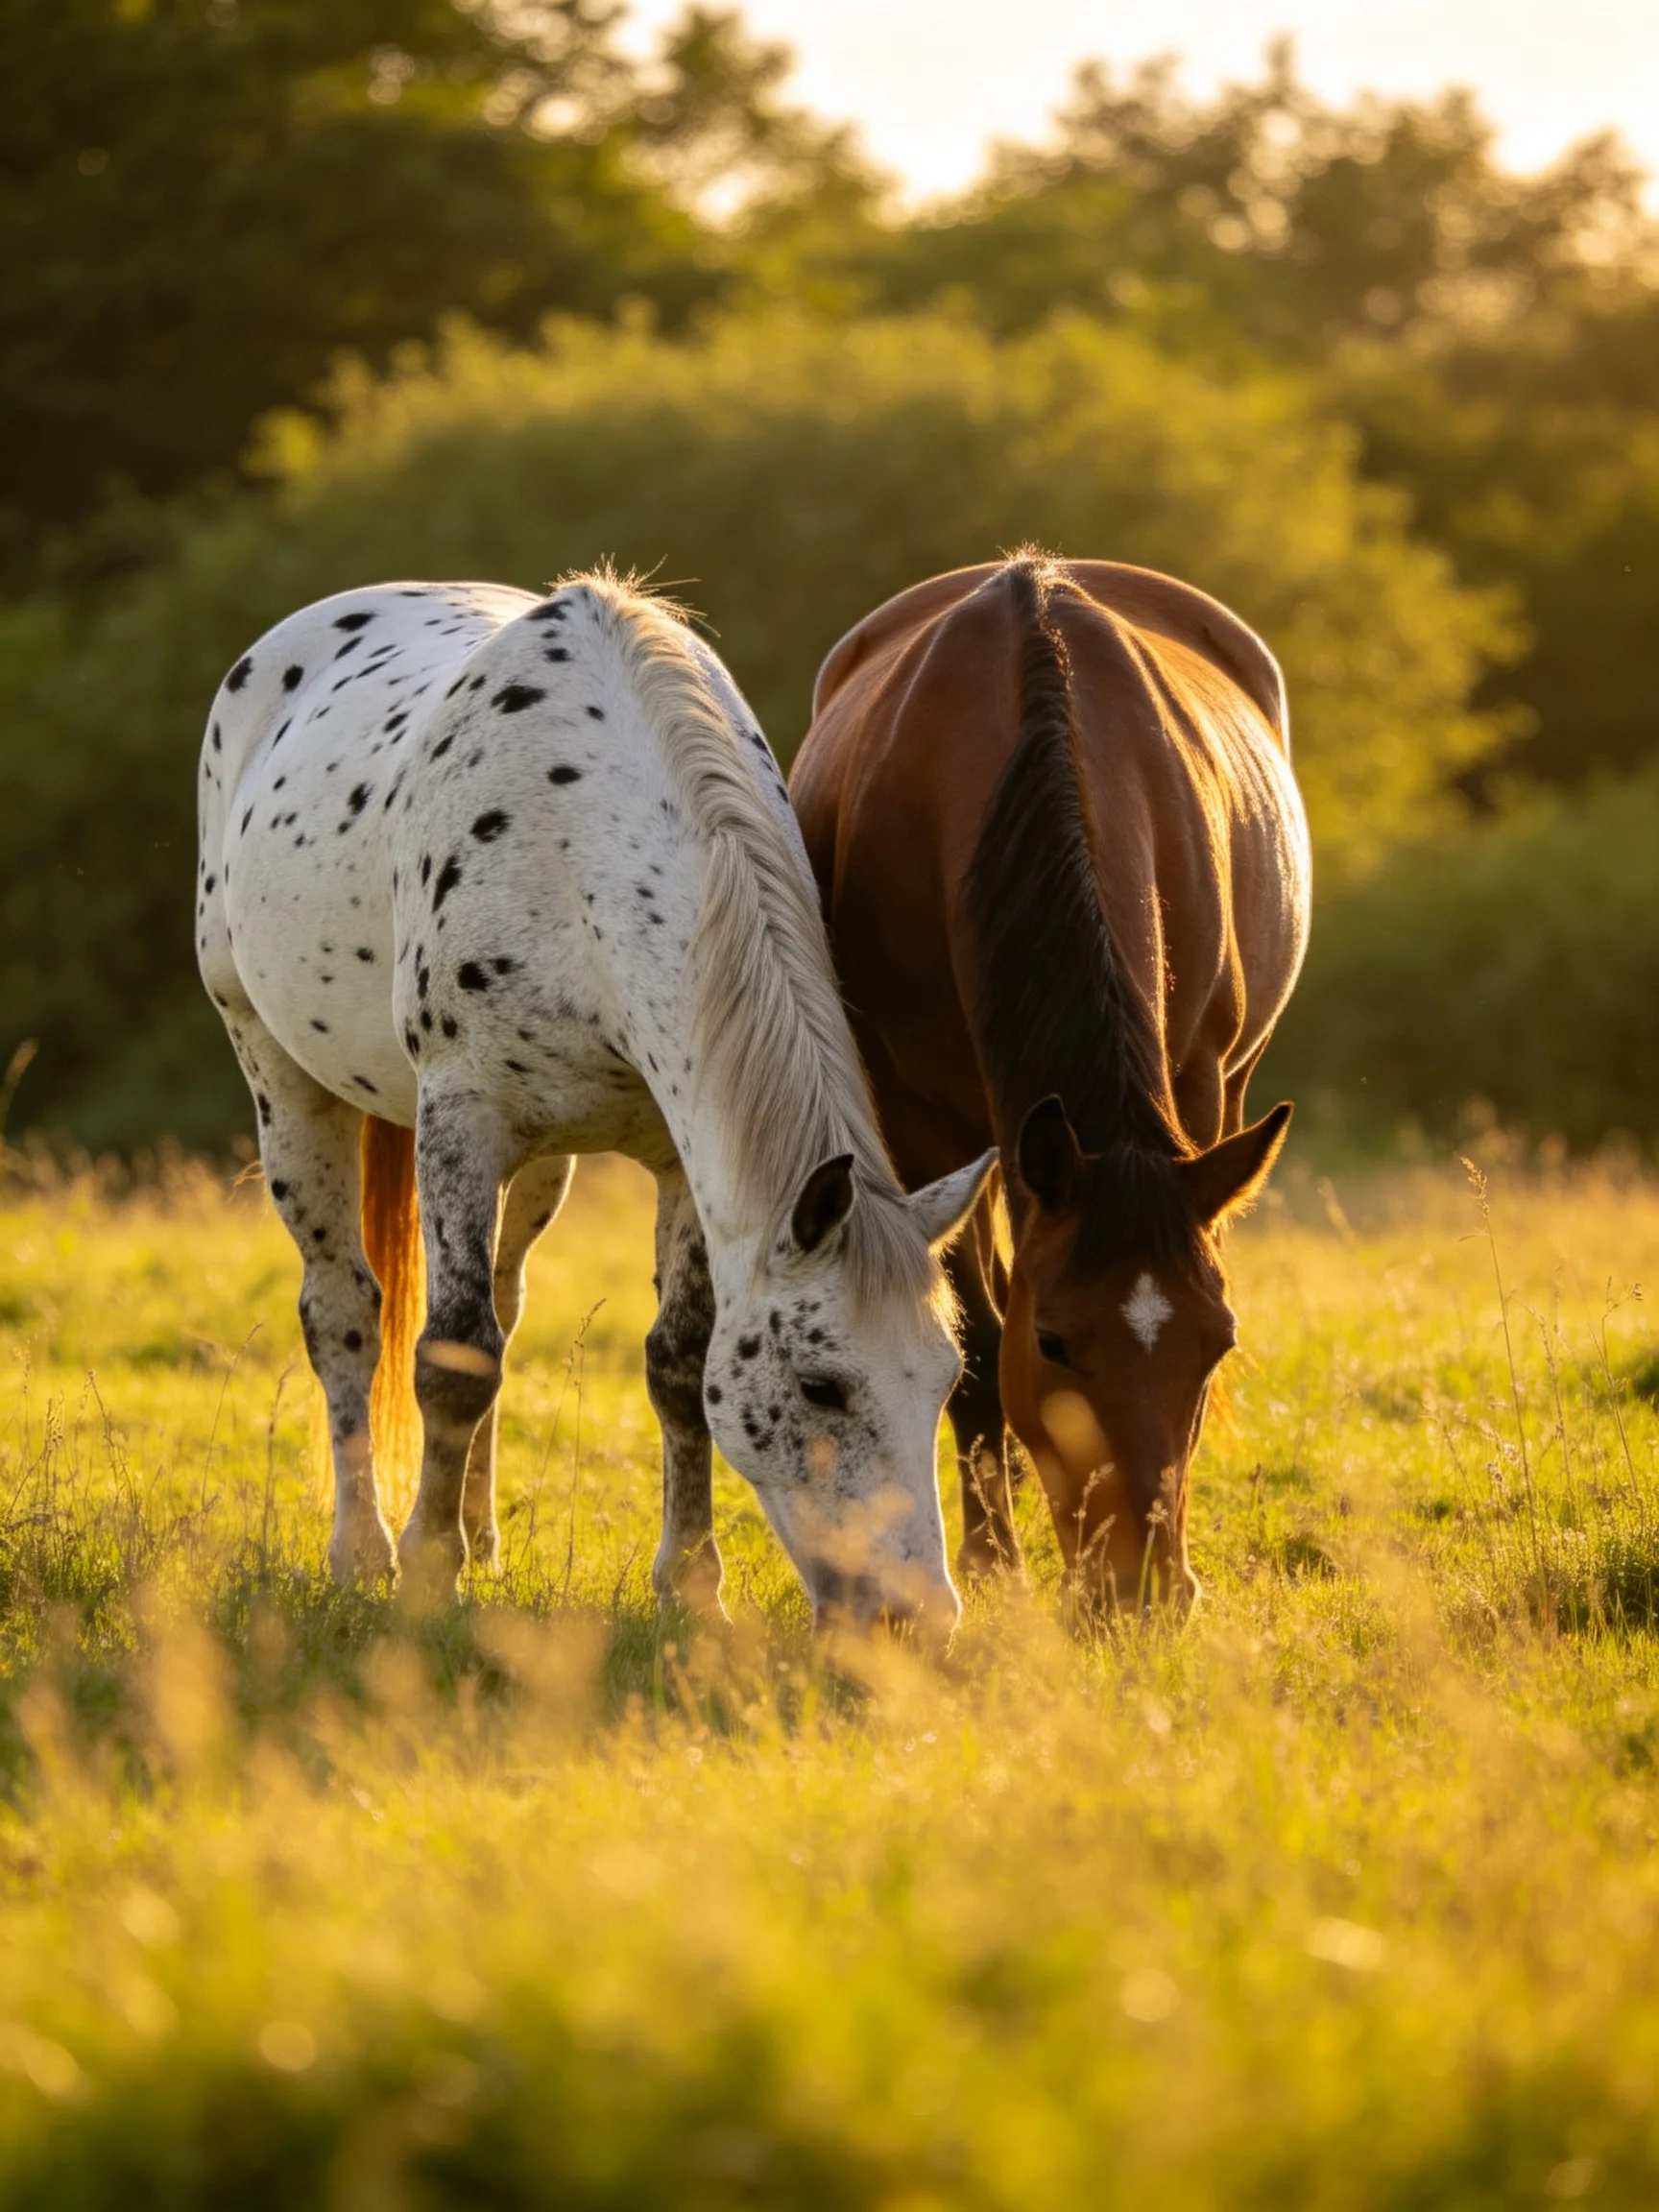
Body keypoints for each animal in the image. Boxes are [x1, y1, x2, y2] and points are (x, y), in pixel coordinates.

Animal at [196, 570, 993, 1627]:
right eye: (823, 1387)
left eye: (946, 1378)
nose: (916, 1616)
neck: (573, 843)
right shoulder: (460, 1120)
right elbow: (453, 1359)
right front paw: (426, 1574)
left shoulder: (686, 1163)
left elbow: (675, 1362)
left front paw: (691, 1589)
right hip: (279, 1077)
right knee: (347, 1316)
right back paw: (364, 1553)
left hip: (541, 1170)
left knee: (501, 1296)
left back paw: (482, 1541)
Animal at [789, 553, 1311, 1613]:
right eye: (1058, 1343)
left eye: (1217, 1342)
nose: (1143, 1591)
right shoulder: (924, 1127)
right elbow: (980, 1341)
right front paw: (995, 1561)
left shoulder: (1196, 1092)